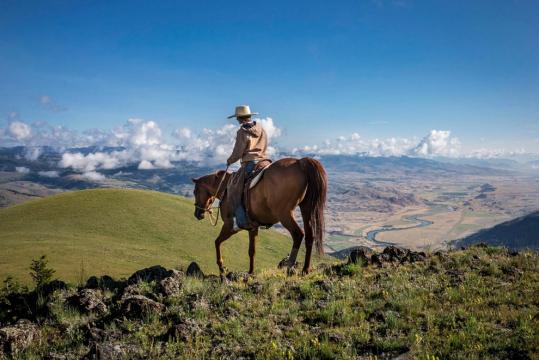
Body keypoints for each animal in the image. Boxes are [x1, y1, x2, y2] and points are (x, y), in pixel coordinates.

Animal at [194, 158, 330, 276]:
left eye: (195, 192)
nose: (197, 214)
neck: (225, 189)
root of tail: (299, 162)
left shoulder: (229, 226)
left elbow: (217, 242)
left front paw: (222, 267)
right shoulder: (253, 227)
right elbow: (252, 251)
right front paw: (250, 272)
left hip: (284, 214)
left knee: (298, 234)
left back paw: (289, 265)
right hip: (306, 209)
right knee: (309, 236)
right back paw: (305, 269)